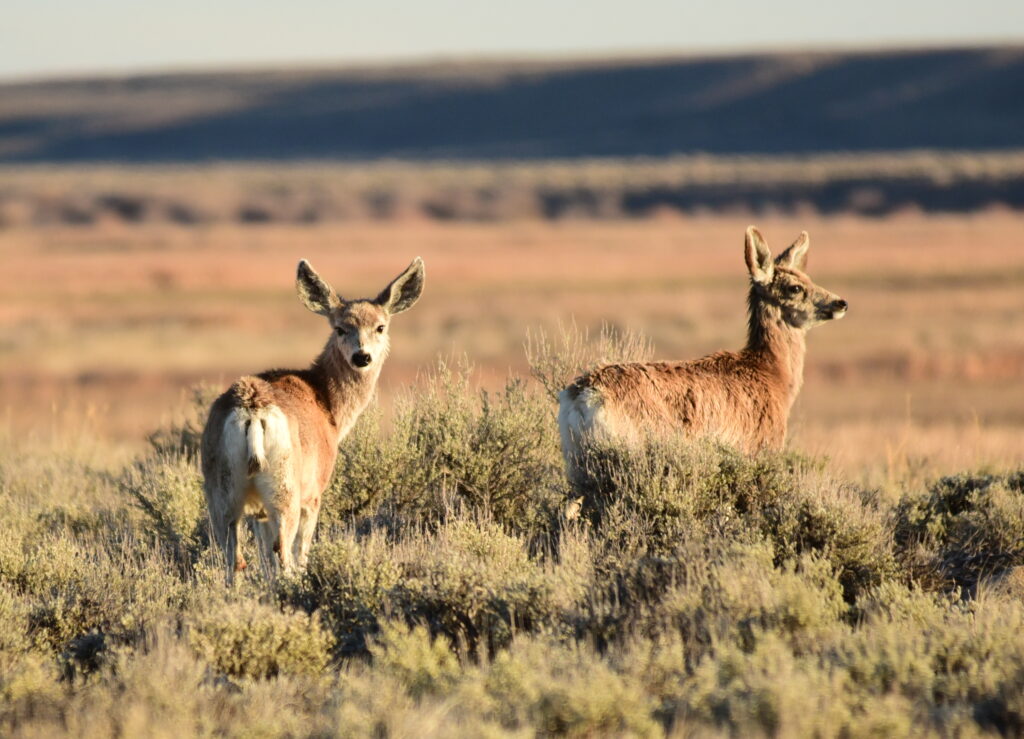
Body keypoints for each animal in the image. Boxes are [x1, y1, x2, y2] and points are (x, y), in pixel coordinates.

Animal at [201, 257, 425, 584]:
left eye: (380, 327)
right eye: (340, 328)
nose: (362, 357)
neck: (328, 406)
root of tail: (252, 410)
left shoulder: (259, 511)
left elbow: (264, 557)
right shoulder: (315, 491)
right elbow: (300, 552)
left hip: (221, 491)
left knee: (234, 558)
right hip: (287, 491)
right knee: (284, 552)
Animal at [558, 226, 847, 486]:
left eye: (809, 278)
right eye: (795, 288)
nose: (841, 303)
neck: (772, 375)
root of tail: (582, 396)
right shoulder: (758, 450)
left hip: (576, 462)